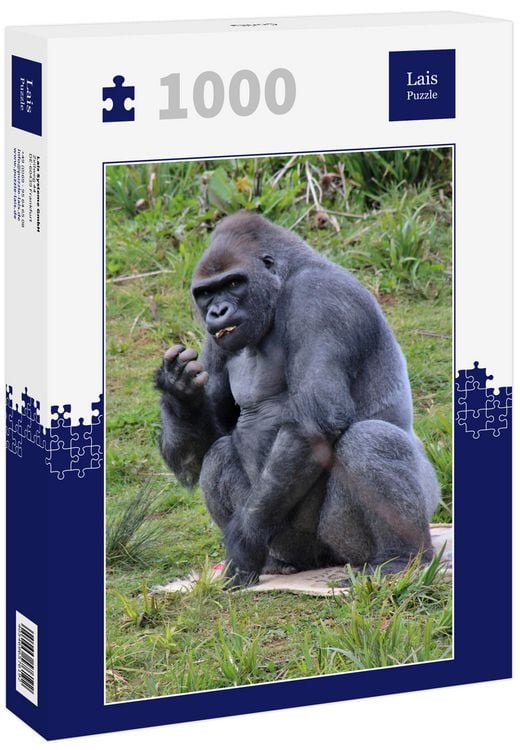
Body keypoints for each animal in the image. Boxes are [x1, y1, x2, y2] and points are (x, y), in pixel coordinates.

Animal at [155, 211, 440, 586]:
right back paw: (274, 565)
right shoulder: (215, 340)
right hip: (288, 545)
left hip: (358, 537)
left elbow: (315, 420)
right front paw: (180, 394)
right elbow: (207, 443)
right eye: (205, 292)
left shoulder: (319, 298)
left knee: (371, 440)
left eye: (233, 283)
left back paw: (401, 557)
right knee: (218, 456)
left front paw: (243, 542)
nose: (217, 311)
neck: (283, 282)